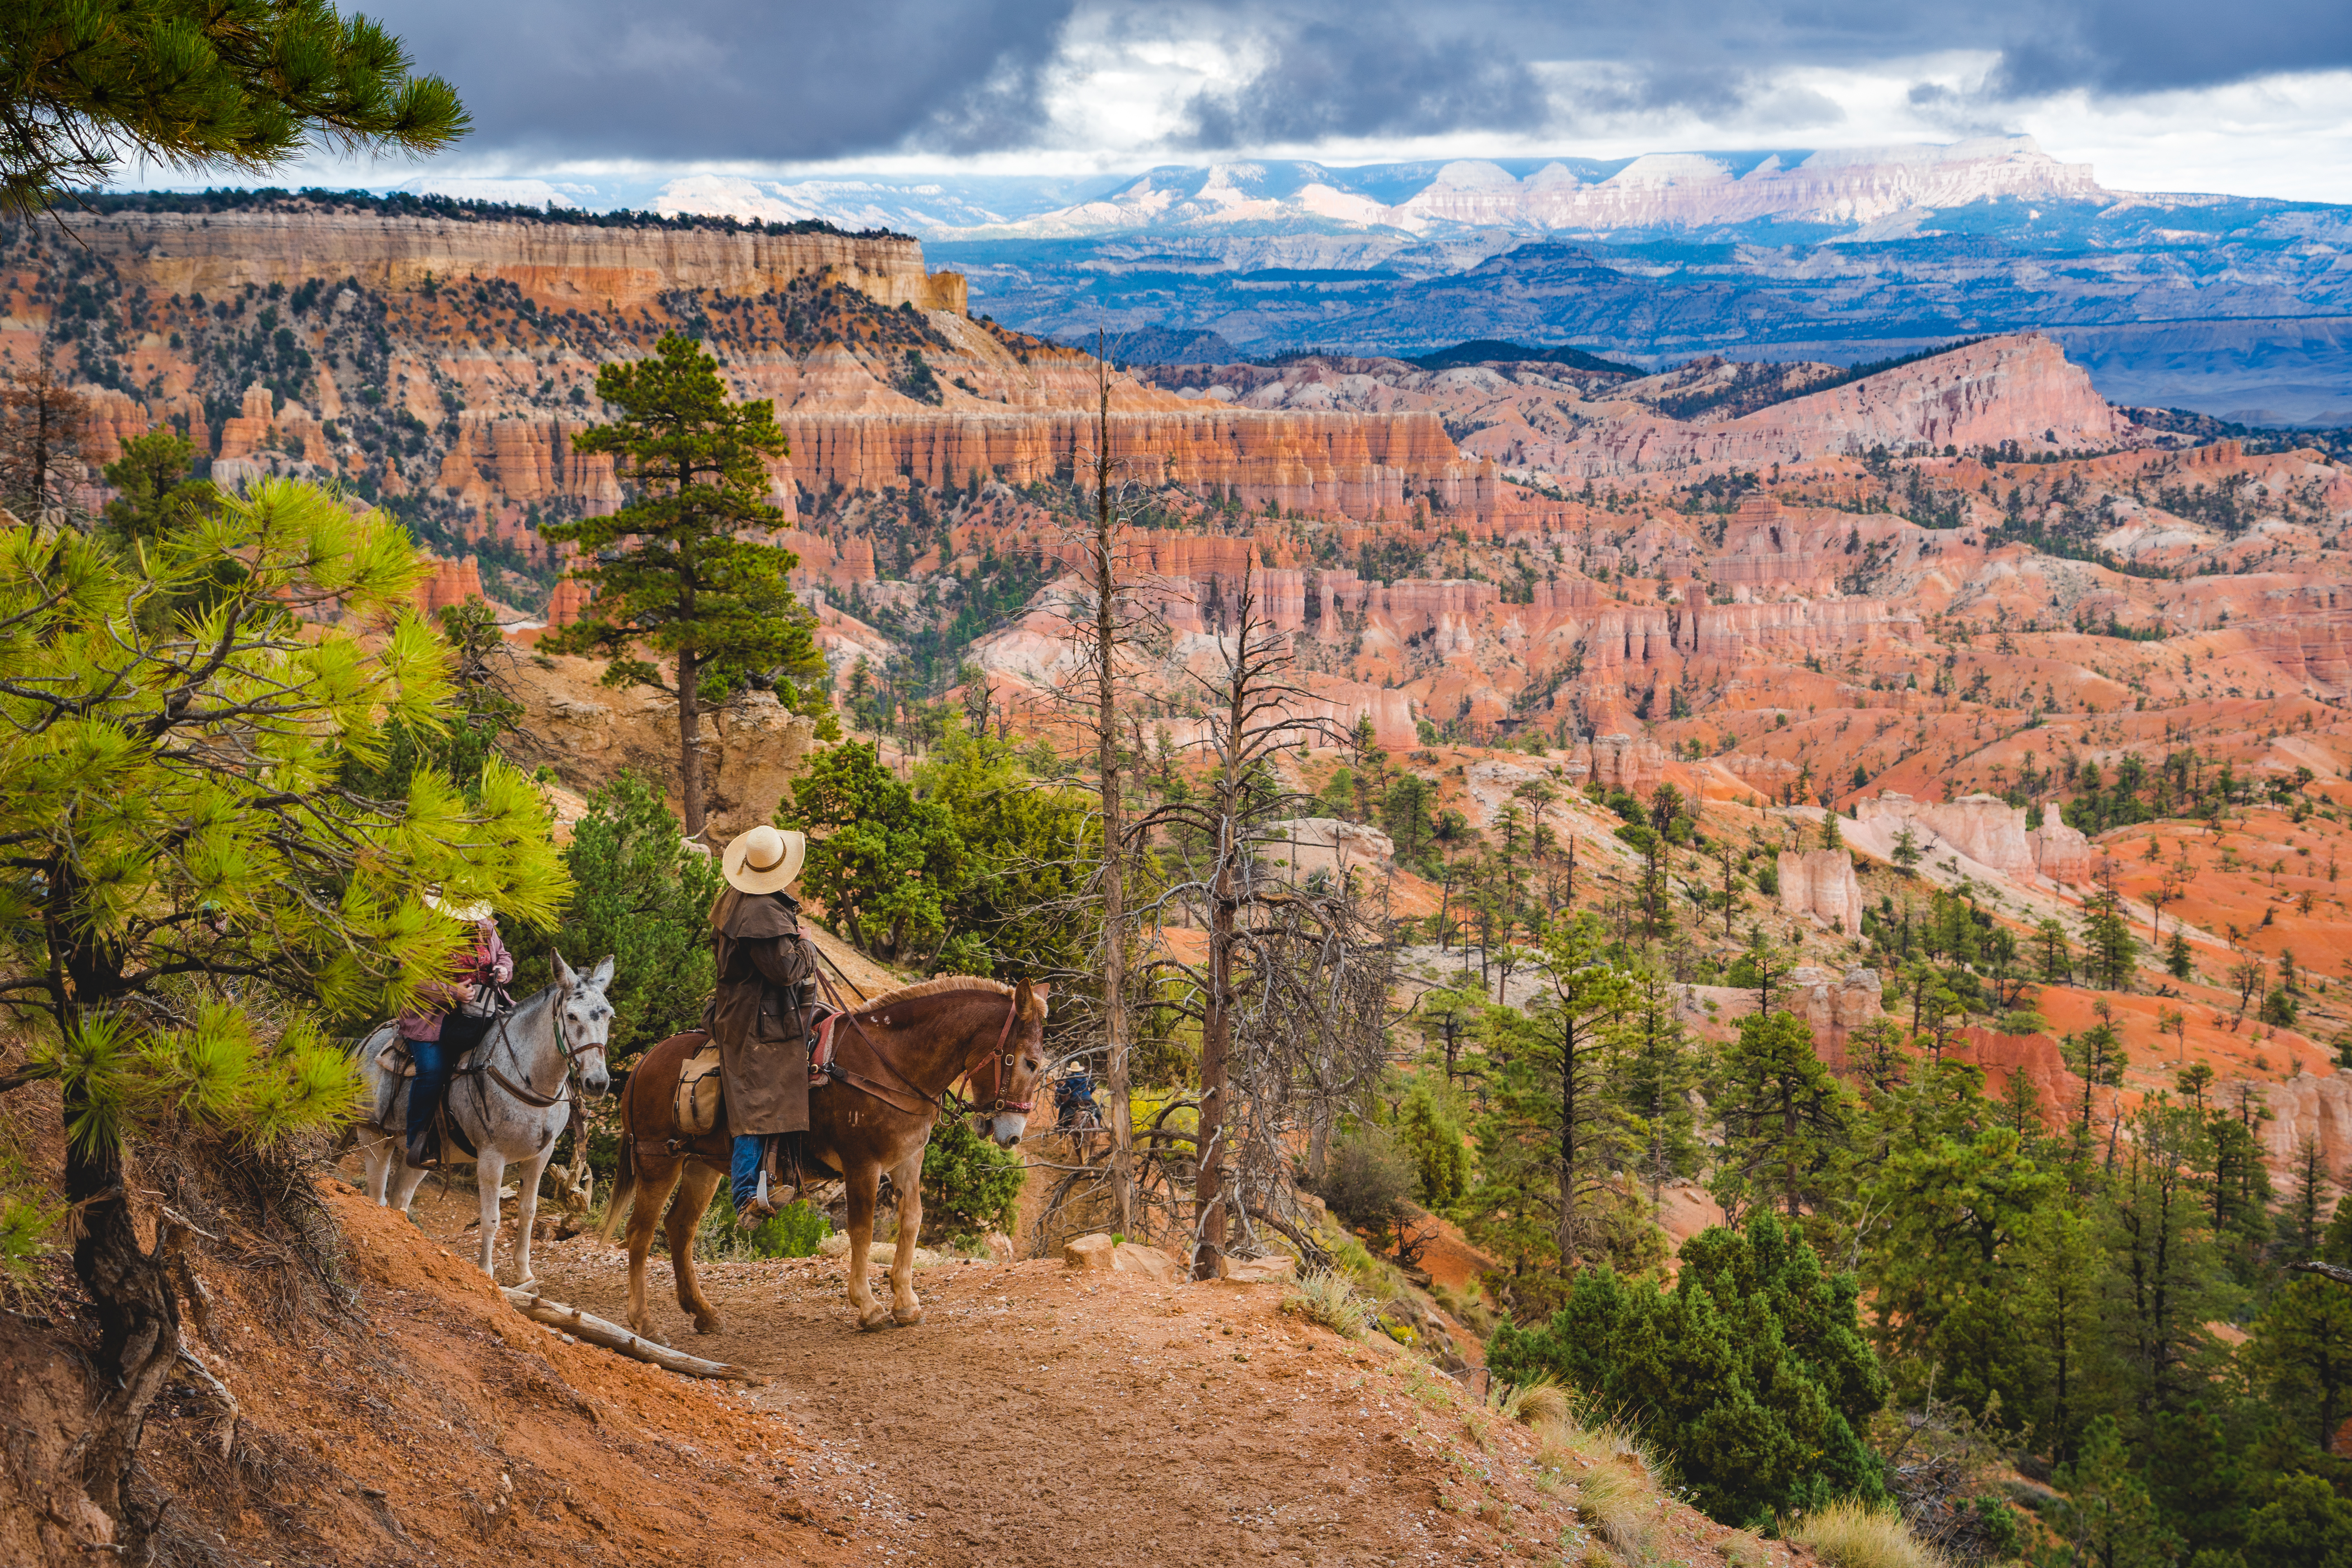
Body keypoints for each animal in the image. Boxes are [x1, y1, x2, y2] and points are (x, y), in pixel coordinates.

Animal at [355, 959, 616, 1288]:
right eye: (571, 1016)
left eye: (608, 1015)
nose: (597, 1083)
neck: (527, 1077)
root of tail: (367, 1042)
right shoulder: (492, 1157)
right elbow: (492, 1218)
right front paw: (486, 1273)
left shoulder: (540, 1156)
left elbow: (528, 1211)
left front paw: (524, 1274)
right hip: (374, 1138)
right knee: (376, 1195)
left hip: (422, 1156)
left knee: (400, 1197)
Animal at [602, 982, 1054, 1335]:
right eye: (1030, 1062)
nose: (1013, 1134)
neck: (892, 1063)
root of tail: (646, 1060)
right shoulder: (863, 1164)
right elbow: (862, 1230)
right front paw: (869, 1307)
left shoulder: (908, 1161)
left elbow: (912, 1220)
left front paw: (906, 1302)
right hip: (659, 1161)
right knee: (640, 1233)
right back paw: (644, 1322)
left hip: (700, 1165)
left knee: (680, 1228)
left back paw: (703, 1312)